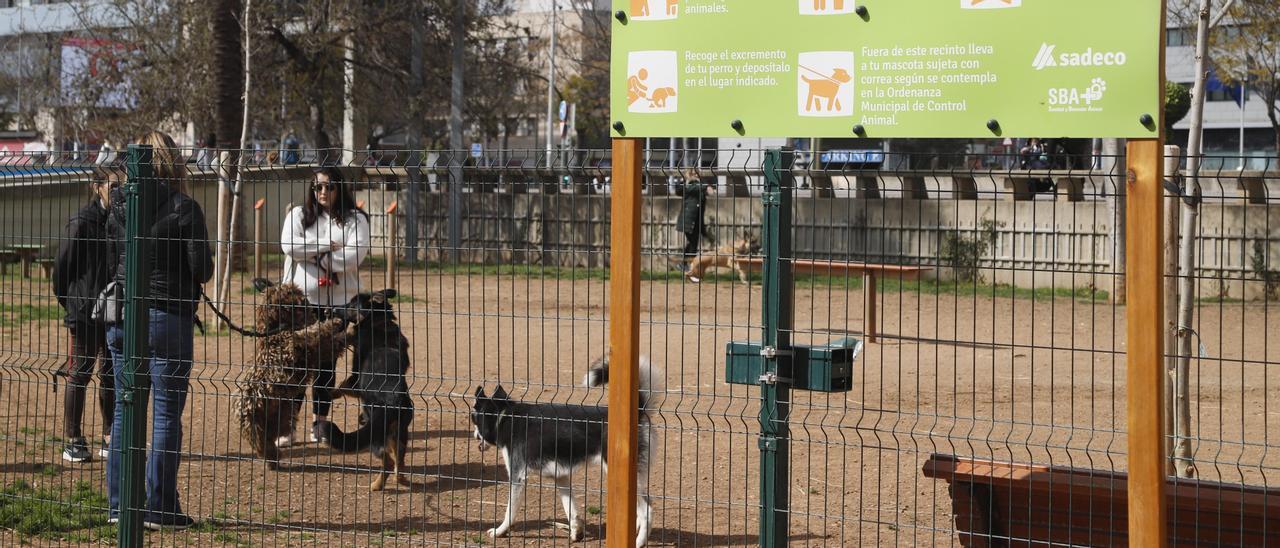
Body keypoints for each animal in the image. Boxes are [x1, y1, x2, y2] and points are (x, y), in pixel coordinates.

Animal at [234, 280, 355, 468]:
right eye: (288, 293)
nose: (305, 301)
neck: (276, 331)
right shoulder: (301, 343)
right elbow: (316, 330)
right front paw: (335, 323)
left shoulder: (318, 352)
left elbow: (333, 342)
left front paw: (347, 332)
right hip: (255, 427)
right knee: (262, 446)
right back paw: (272, 460)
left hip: (281, 419)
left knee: (269, 443)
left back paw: (274, 458)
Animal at [322, 289, 412, 489]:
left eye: (351, 304)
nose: (330, 309)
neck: (379, 322)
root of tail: (392, 400)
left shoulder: (356, 376)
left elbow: (343, 386)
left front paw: (331, 393)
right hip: (398, 432)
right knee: (399, 459)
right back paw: (401, 479)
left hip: (376, 435)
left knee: (388, 461)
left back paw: (376, 486)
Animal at [471, 355, 660, 542]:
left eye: (473, 418)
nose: (474, 435)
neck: (504, 417)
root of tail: (637, 413)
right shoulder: (560, 477)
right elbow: (571, 509)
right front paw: (576, 533)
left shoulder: (517, 477)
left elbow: (510, 512)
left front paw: (499, 531)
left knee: (647, 511)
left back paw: (639, 541)